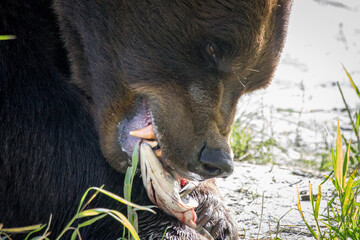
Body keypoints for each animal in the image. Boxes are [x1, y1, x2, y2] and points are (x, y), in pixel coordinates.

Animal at [0, 0, 292, 239]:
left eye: (252, 83)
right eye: (211, 49)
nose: (216, 160)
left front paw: (212, 211)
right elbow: (40, 120)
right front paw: (164, 225)